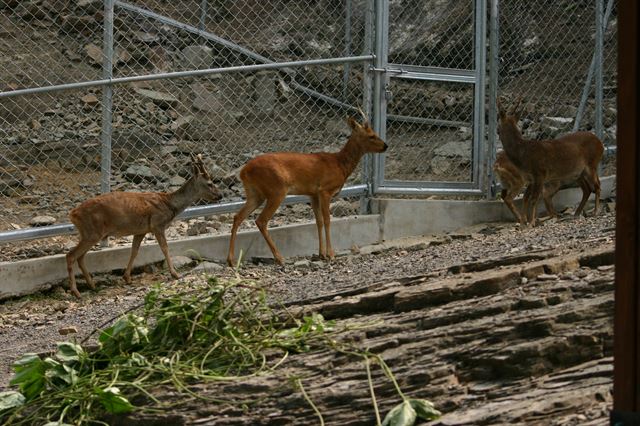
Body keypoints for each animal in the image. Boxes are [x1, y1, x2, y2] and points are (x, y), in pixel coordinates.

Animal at [65, 155, 220, 298]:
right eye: (210, 183)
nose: (220, 195)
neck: (169, 204)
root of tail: (72, 214)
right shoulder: (158, 224)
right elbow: (165, 248)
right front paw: (175, 274)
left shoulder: (141, 230)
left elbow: (134, 251)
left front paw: (127, 278)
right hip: (92, 232)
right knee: (71, 255)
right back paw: (76, 291)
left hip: (90, 233)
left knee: (80, 257)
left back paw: (92, 285)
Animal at [228, 114, 388, 266]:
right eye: (371, 135)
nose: (386, 145)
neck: (340, 164)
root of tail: (243, 172)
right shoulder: (325, 190)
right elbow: (327, 220)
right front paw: (331, 254)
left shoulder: (313, 194)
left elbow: (318, 221)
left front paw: (321, 254)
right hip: (276, 190)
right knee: (261, 221)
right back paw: (279, 258)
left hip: (255, 194)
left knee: (237, 217)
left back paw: (231, 260)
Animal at [496, 98, 604, 226]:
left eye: (499, 126)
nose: (497, 131)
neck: (523, 154)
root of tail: (600, 143)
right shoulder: (530, 179)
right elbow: (526, 198)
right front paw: (524, 223)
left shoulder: (539, 174)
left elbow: (533, 199)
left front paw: (531, 223)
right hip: (578, 173)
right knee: (587, 189)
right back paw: (576, 213)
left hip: (592, 164)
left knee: (597, 185)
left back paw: (595, 211)